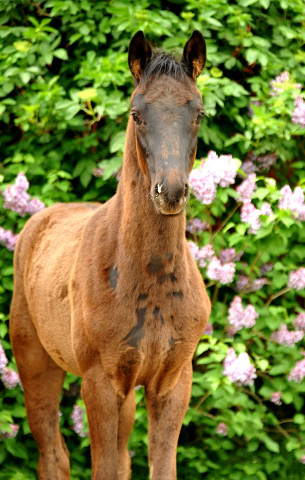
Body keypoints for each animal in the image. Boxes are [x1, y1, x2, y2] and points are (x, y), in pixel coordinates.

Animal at [8, 31, 209, 480]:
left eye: (199, 112)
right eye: (137, 114)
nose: (170, 192)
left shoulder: (172, 381)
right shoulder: (98, 382)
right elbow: (102, 467)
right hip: (36, 366)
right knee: (53, 455)